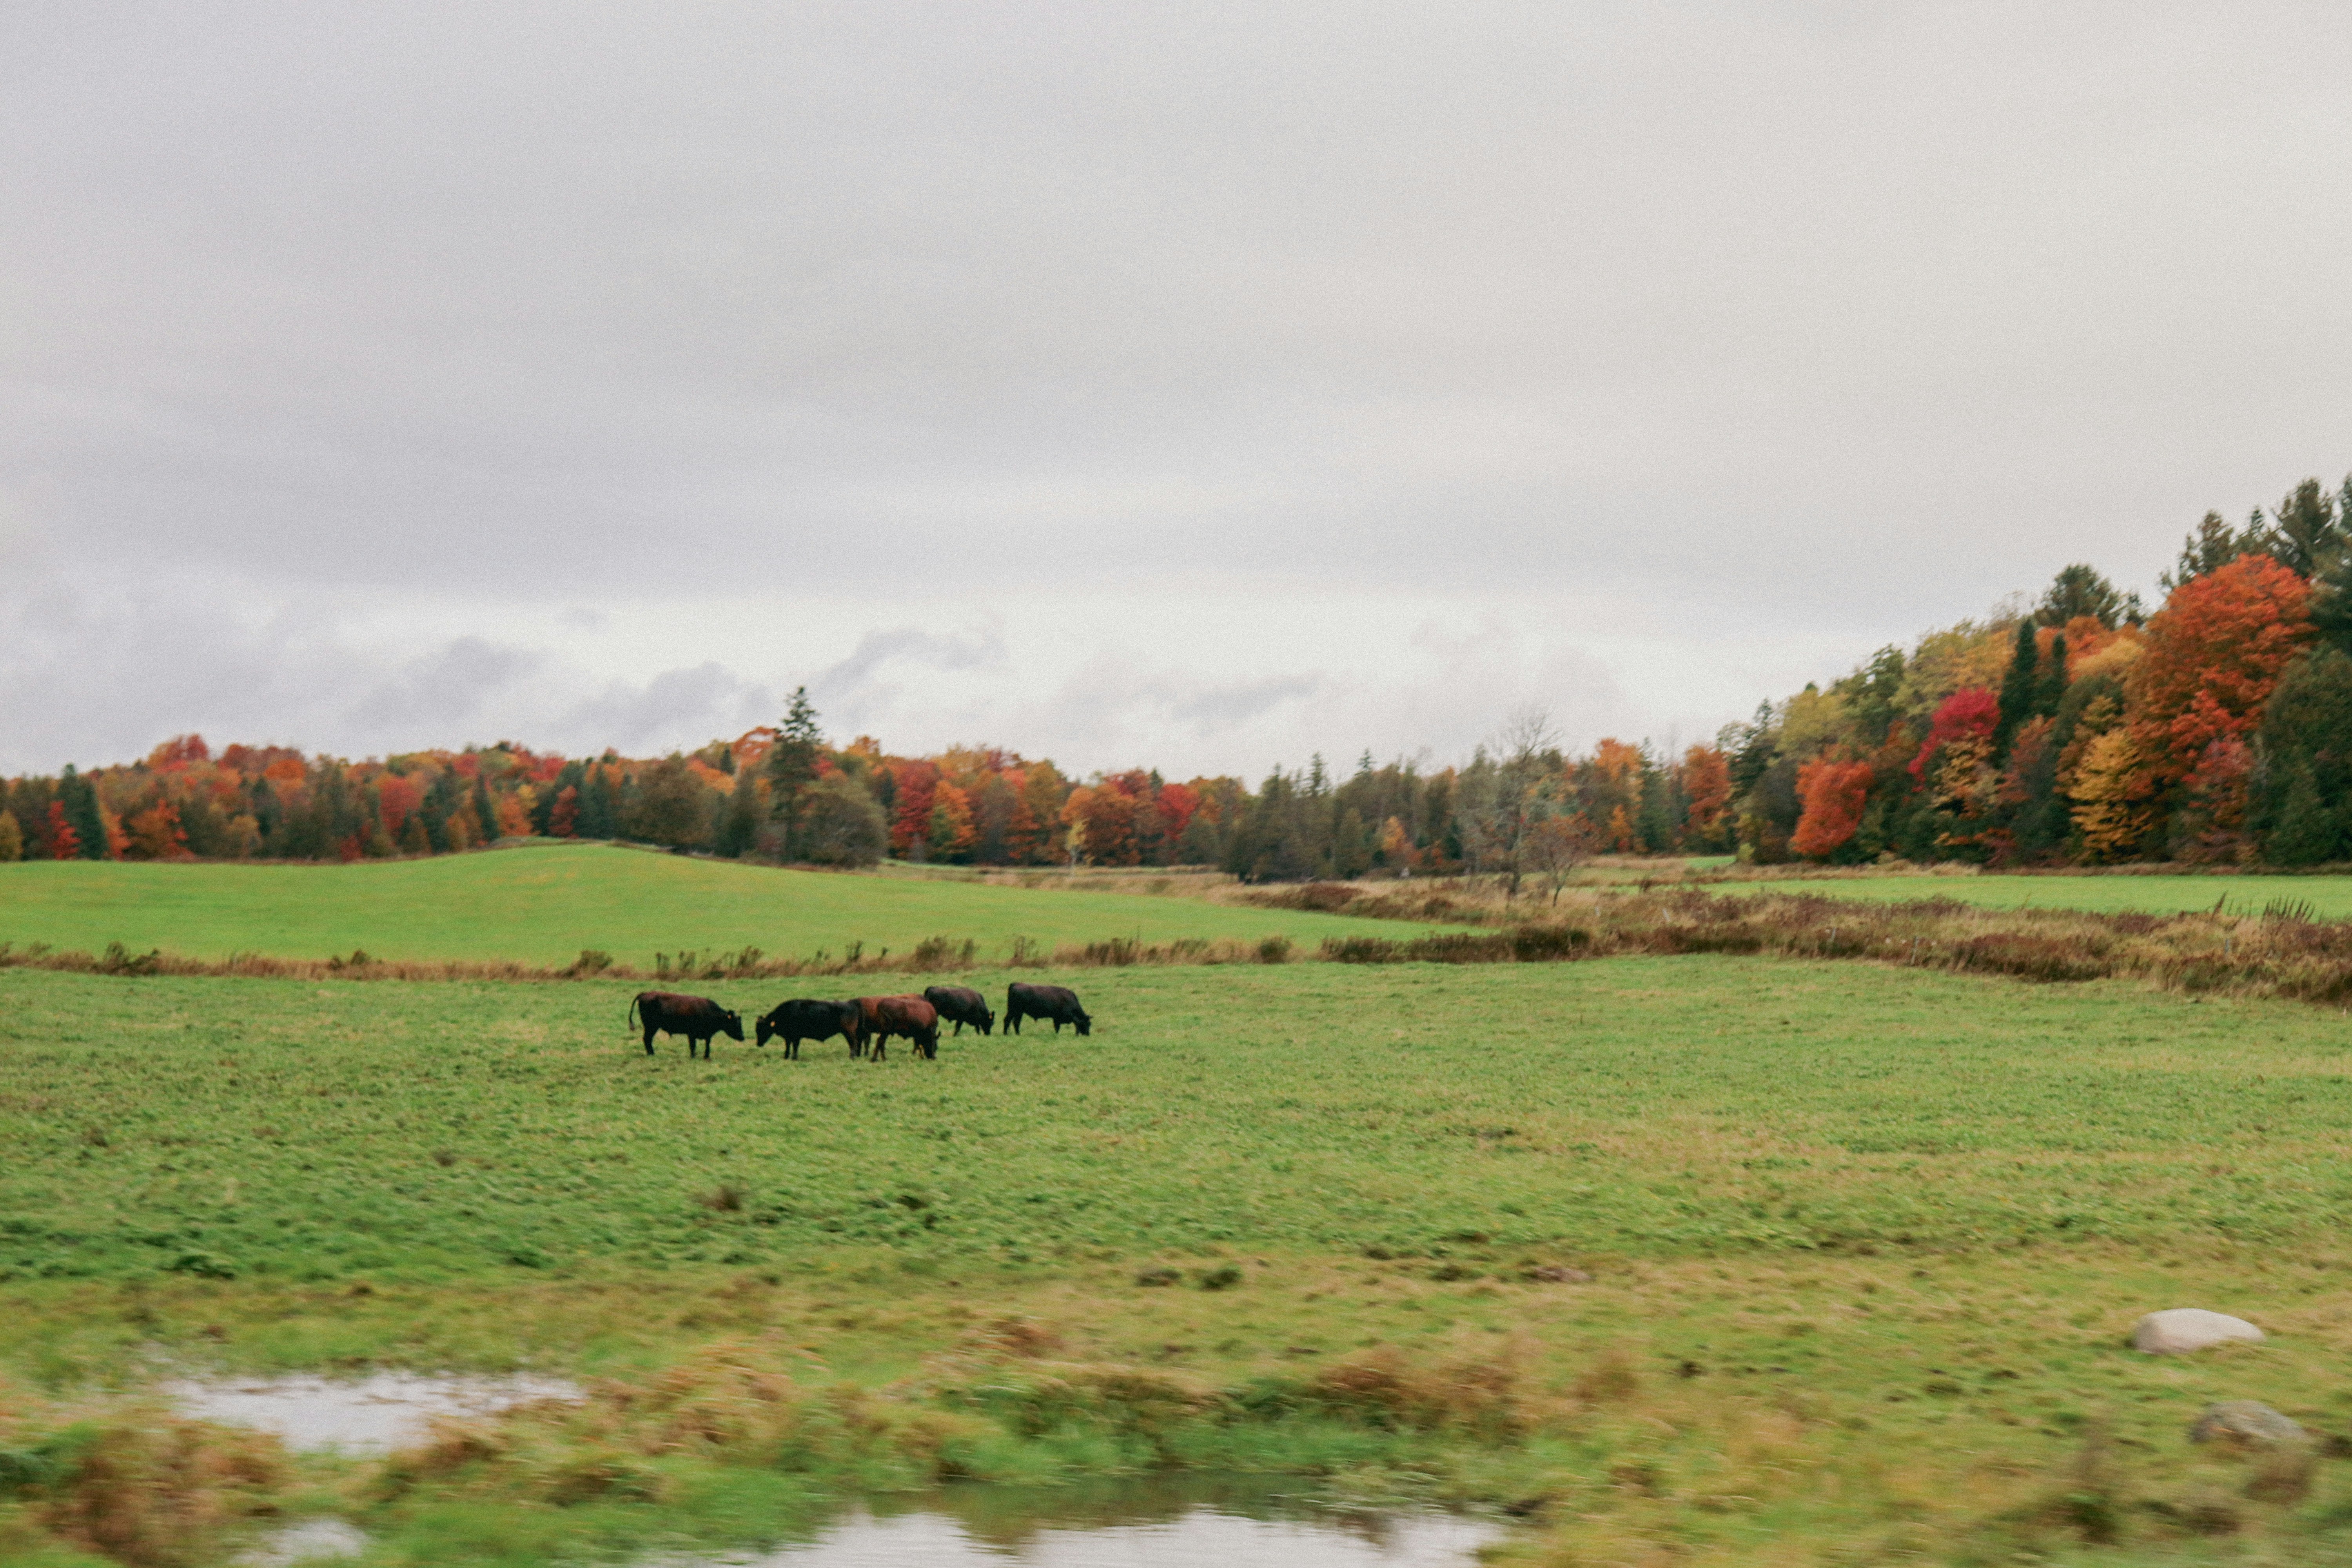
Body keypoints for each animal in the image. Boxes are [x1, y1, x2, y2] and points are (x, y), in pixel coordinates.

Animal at [629, 991, 744, 1059]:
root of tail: (645, 993)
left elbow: (707, 1044)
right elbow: (693, 1046)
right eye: (736, 1024)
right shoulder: (691, 1034)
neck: (708, 1011)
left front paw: (706, 1057)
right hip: (651, 1027)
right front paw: (693, 1057)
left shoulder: (707, 1035)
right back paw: (651, 1054)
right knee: (647, 1039)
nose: (743, 1038)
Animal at [754, 998, 865, 1060]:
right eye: (757, 1029)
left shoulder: (796, 1037)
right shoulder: (789, 1038)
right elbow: (788, 1046)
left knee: (854, 1043)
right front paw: (786, 1056)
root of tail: (852, 1005)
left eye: (763, 1028)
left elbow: (795, 1047)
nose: (758, 1044)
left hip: (848, 1032)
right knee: (852, 1043)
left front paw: (794, 1058)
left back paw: (852, 1057)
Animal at [854, 994, 940, 1060]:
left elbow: (917, 1045)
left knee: (881, 1042)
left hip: (885, 1032)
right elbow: (918, 1045)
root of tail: (880, 1005)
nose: (934, 1057)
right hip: (886, 1031)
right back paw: (876, 1059)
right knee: (880, 1041)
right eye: (934, 1044)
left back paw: (882, 1058)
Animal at [923, 984, 994, 1036]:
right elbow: (959, 1028)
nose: (988, 1034)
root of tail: (932, 988)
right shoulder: (962, 1019)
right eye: (990, 1022)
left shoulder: (961, 1019)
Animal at [1004, 982, 1091, 1036]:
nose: (1088, 1034)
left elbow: (1057, 1028)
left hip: (1014, 1011)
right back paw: (1013, 1034)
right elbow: (1074, 1024)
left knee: (1011, 1021)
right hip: (1017, 1011)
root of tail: (1015, 984)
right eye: (1087, 1024)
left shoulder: (1057, 1018)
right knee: (1014, 1022)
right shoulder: (1065, 1017)